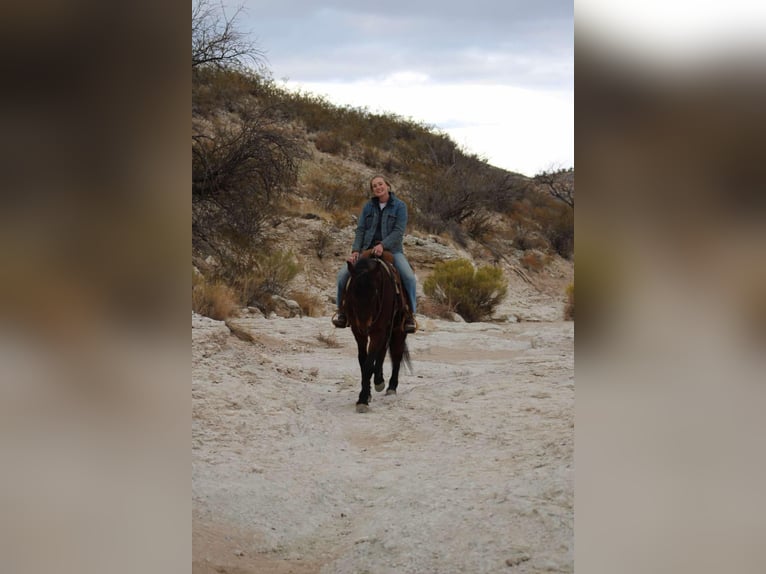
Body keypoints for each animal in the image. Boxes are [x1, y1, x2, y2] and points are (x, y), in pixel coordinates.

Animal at [342, 250, 410, 413]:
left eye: (375, 293)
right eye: (352, 293)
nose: (364, 325)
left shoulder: (377, 331)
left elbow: (368, 365)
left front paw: (362, 400)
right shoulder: (358, 332)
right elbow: (363, 361)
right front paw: (367, 394)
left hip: (398, 331)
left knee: (396, 355)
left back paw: (391, 386)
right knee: (383, 352)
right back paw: (379, 379)